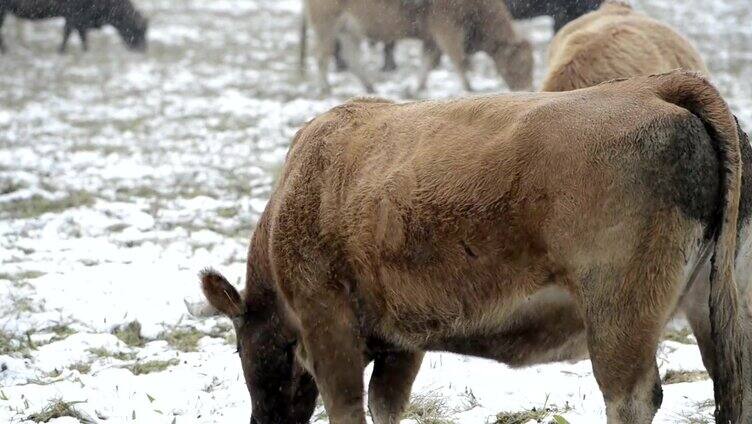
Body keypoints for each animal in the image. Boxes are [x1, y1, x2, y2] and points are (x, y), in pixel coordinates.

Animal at [0, 0, 148, 53]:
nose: (142, 50)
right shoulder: (74, 16)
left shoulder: (77, 20)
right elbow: (69, 33)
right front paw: (62, 50)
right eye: (139, 30)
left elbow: (78, 34)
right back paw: (5, 50)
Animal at [300, 0, 536, 93]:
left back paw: (370, 87)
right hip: (327, 25)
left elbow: (428, 60)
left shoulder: (432, 38)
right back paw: (325, 87)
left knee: (351, 58)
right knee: (322, 56)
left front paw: (419, 86)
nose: (528, 90)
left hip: (349, 30)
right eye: (520, 64)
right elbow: (459, 60)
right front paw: (469, 87)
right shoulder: (446, 29)